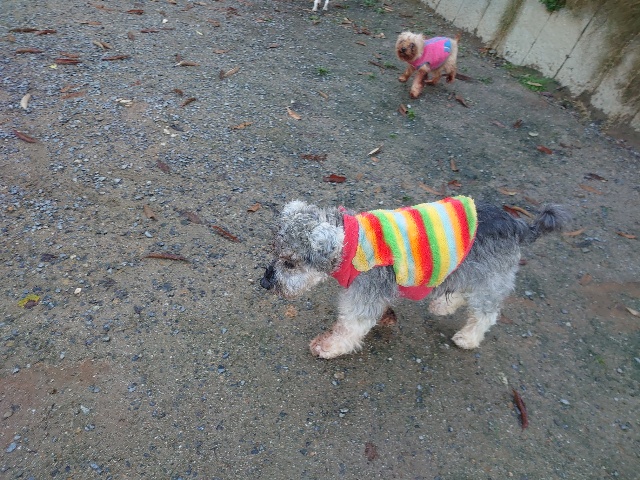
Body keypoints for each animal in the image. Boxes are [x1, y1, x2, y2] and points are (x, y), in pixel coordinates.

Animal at [260, 196, 568, 359]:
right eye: (274, 252)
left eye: (290, 263)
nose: (265, 283)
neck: (351, 244)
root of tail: (518, 224)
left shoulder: (363, 299)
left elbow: (348, 329)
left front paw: (327, 346)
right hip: (466, 268)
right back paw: (443, 305)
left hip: (490, 281)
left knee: (485, 313)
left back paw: (468, 338)